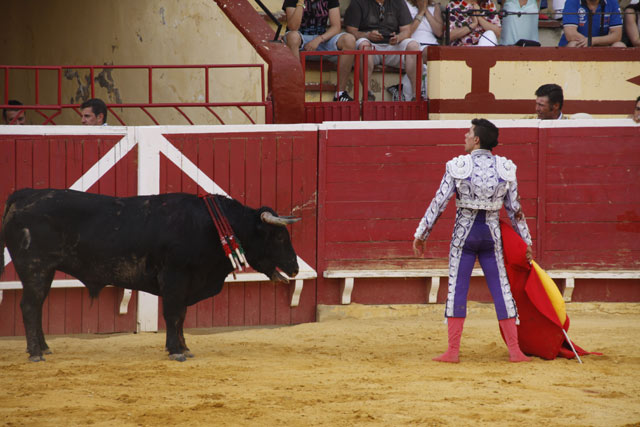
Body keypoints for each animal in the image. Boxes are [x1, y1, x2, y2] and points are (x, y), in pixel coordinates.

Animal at [0, 189, 300, 362]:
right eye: (279, 237)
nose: (296, 267)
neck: (209, 226)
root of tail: (24, 195)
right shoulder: (175, 279)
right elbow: (174, 314)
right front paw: (176, 351)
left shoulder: (184, 284)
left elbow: (181, 316)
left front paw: (183, 347)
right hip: (35, 268)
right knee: (30, 306)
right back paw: (36, 353)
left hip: (45, 271)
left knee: (37, 306)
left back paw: (44, 348)